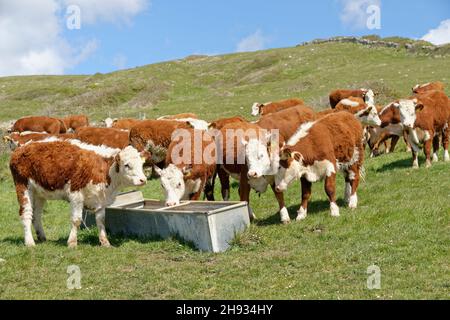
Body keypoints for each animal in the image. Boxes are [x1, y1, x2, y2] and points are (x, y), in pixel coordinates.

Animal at [10, 140, 148, 248]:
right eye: (127, 165)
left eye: (142, 164)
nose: (143, 180)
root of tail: (22, 147)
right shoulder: (76, 195)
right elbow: (76, 220)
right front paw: (72, 242)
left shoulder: (100, 199)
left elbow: (101, 220)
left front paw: (105, 242)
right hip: (23, 186)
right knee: (26, 213)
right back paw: (29, 242)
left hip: (39, 193)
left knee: (37, 215)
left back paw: (42, 237)